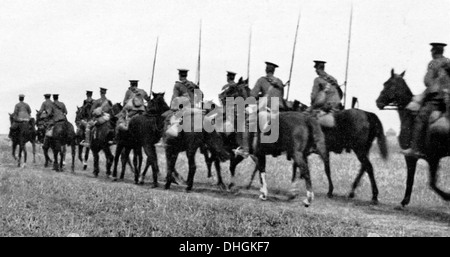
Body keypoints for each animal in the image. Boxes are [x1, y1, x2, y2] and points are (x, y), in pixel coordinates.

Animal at [376, 68, 450, 206]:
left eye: (387, 84)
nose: (378, 102)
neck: (410, 116)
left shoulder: (420, 158)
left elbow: (419, 181)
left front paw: (404, 201)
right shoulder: (431, 159)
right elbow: (429, 182)